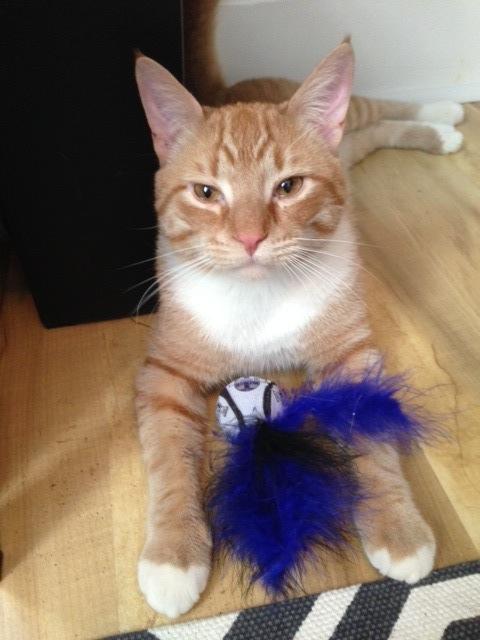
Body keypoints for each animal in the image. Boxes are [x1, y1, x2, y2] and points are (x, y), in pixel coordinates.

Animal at [133, 1, 464, 620]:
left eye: (288, 187)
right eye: (206, 193)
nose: (249, 238)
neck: (259, 296)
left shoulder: (353, 355)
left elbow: (375, 440)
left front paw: (397, 528)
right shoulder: (164, 374)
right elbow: (168, 459)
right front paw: (172, 554)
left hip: (348, 122)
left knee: (377, 109)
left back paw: (443, 114)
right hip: (351, 151)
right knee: (374, 132)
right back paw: (442, 125)